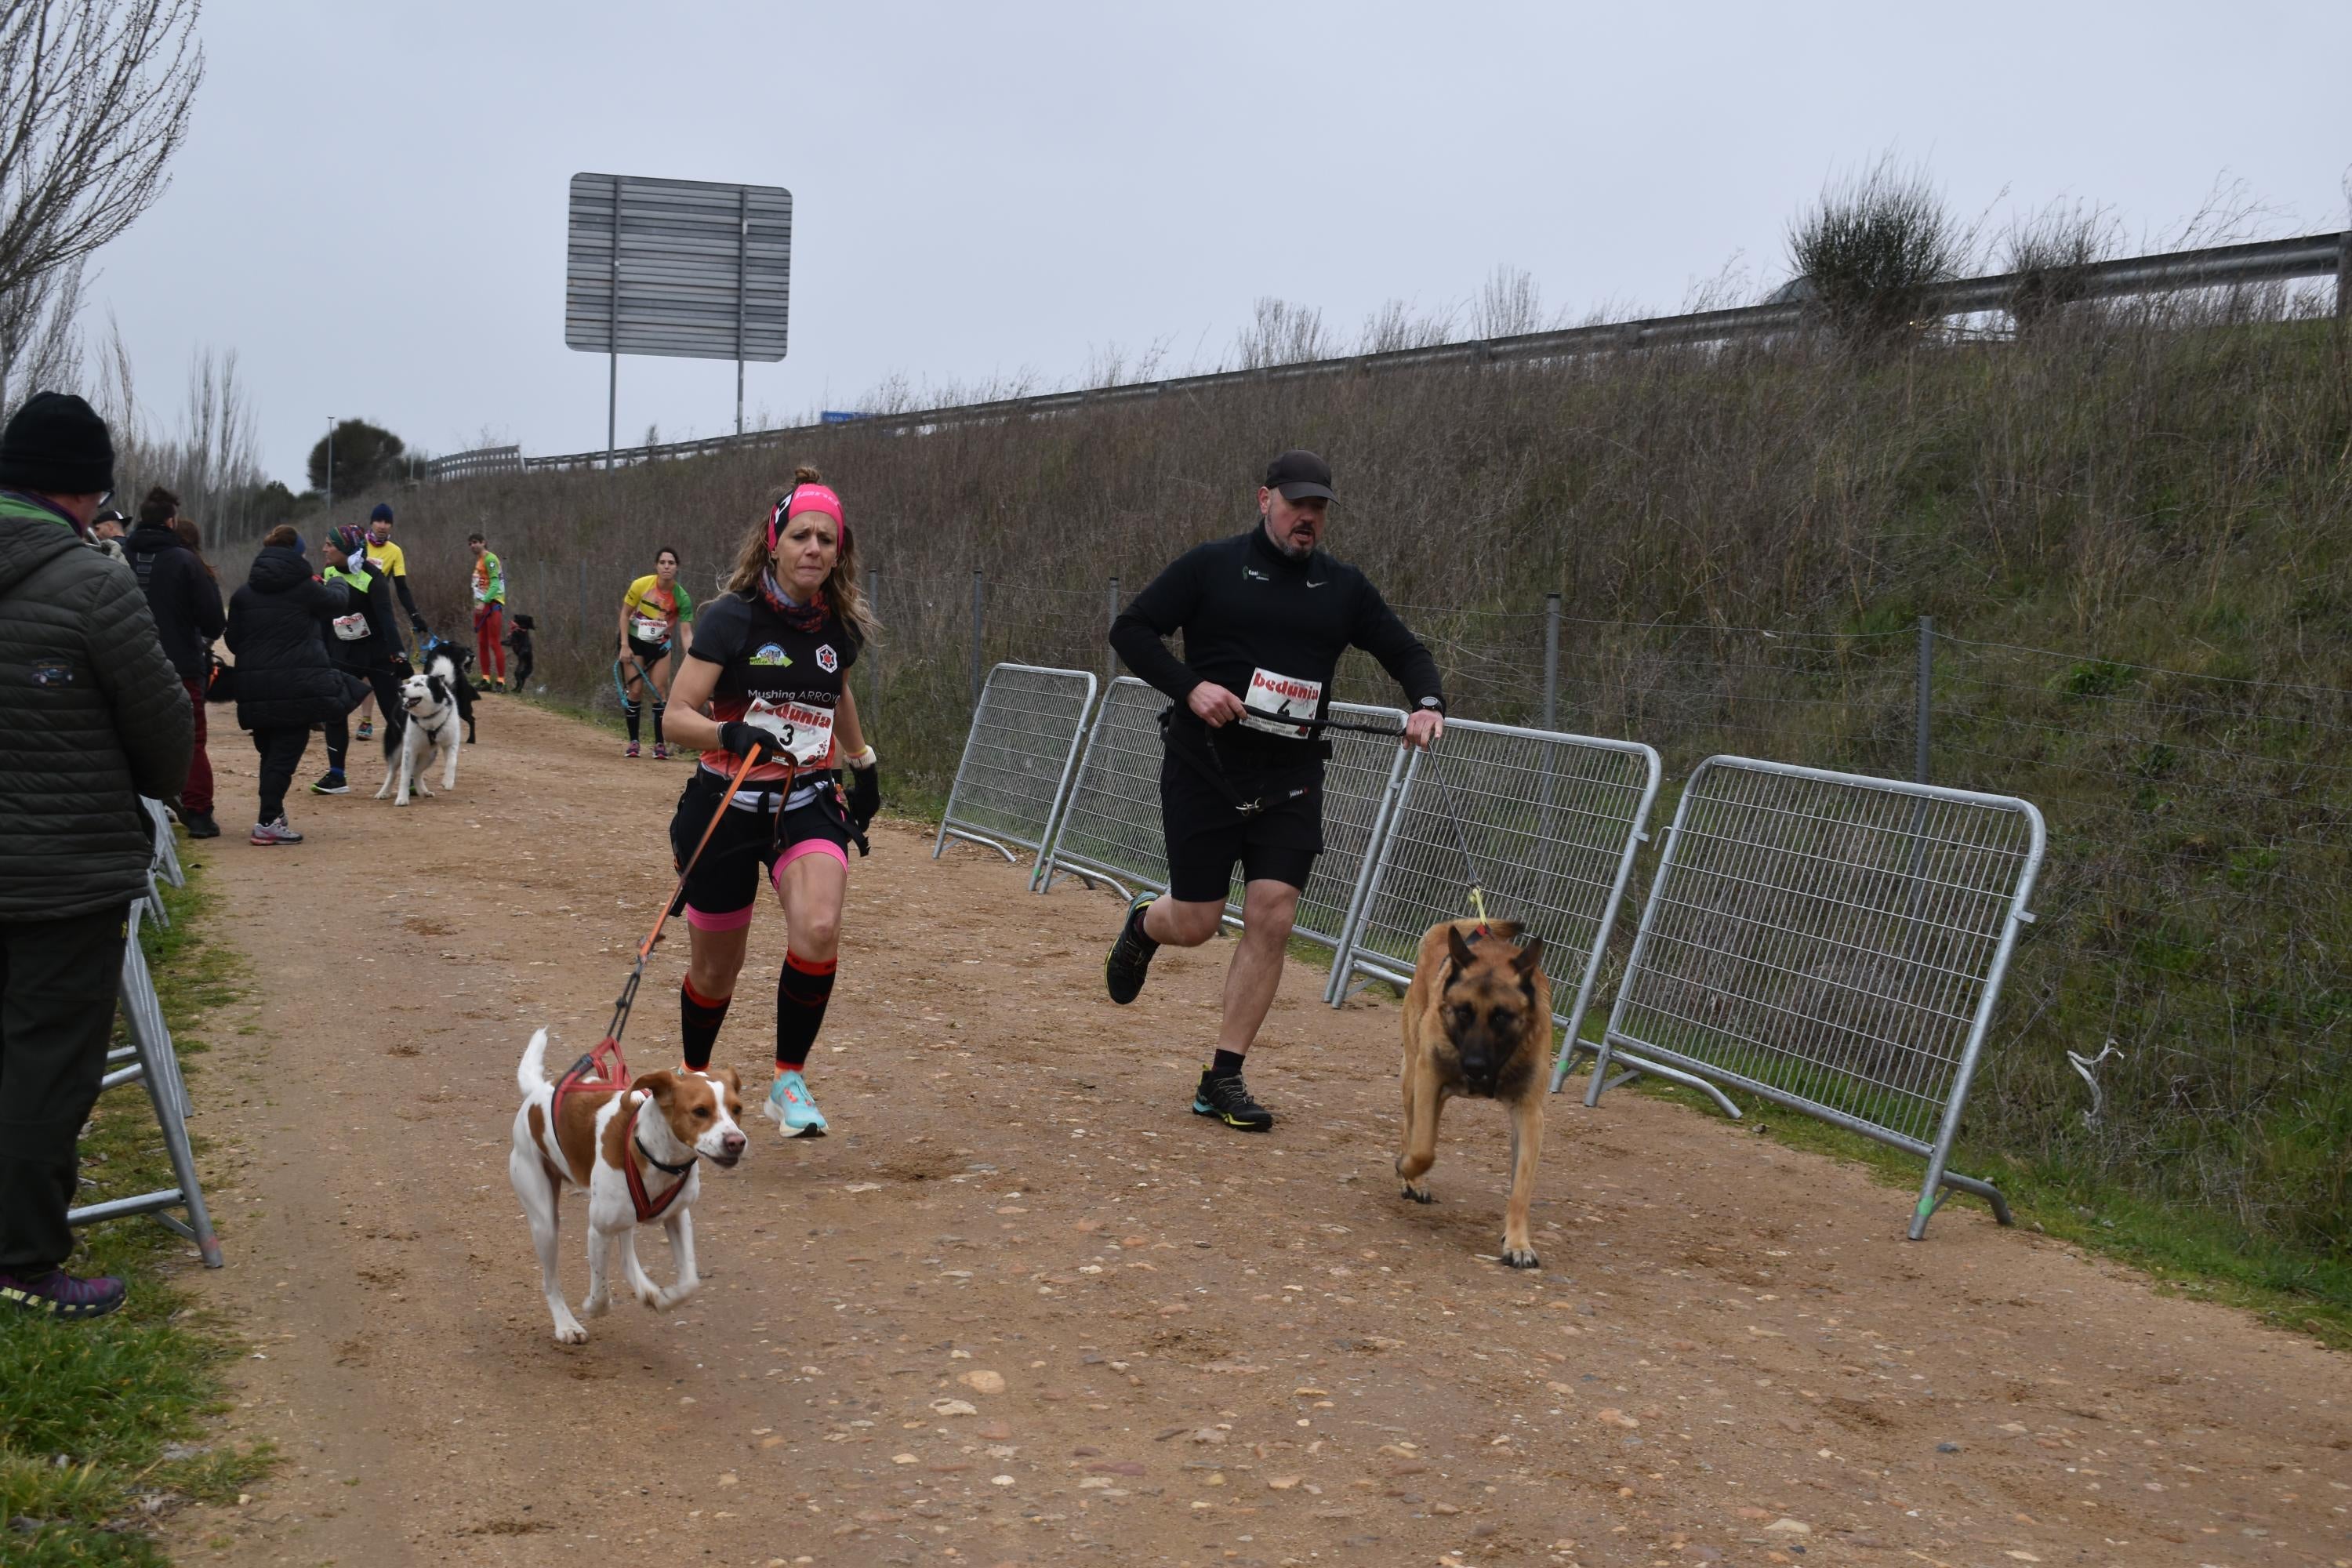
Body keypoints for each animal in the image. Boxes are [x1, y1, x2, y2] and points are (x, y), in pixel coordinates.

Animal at [506, 1029, 743, 1354]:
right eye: (700, 1111)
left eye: (738, 1109)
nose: (737, 1142)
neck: (656, 1153)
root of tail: (538, 1091)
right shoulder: (598, 1230)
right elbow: (602, 1294)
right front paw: (592, 1308)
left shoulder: (678, 1216)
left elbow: (689, 1282)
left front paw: (664, 1299)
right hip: (544, 1220)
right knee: (550, 1280)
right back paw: (567, 1325)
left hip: (622, 1214)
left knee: (626, 1256)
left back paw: (646, 1290)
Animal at [1392, 926, 1543, 1269]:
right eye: (1464, 1012)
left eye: (1501, 1017)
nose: (1474, 1067)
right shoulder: (1429, 1080)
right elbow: (1423, 1150)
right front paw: (1407, 1170)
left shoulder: (1529, 1112)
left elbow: (1521, 1186)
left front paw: (1518, 1243)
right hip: (1415, 1080)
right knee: (1410, 1130)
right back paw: (1413, 1182)